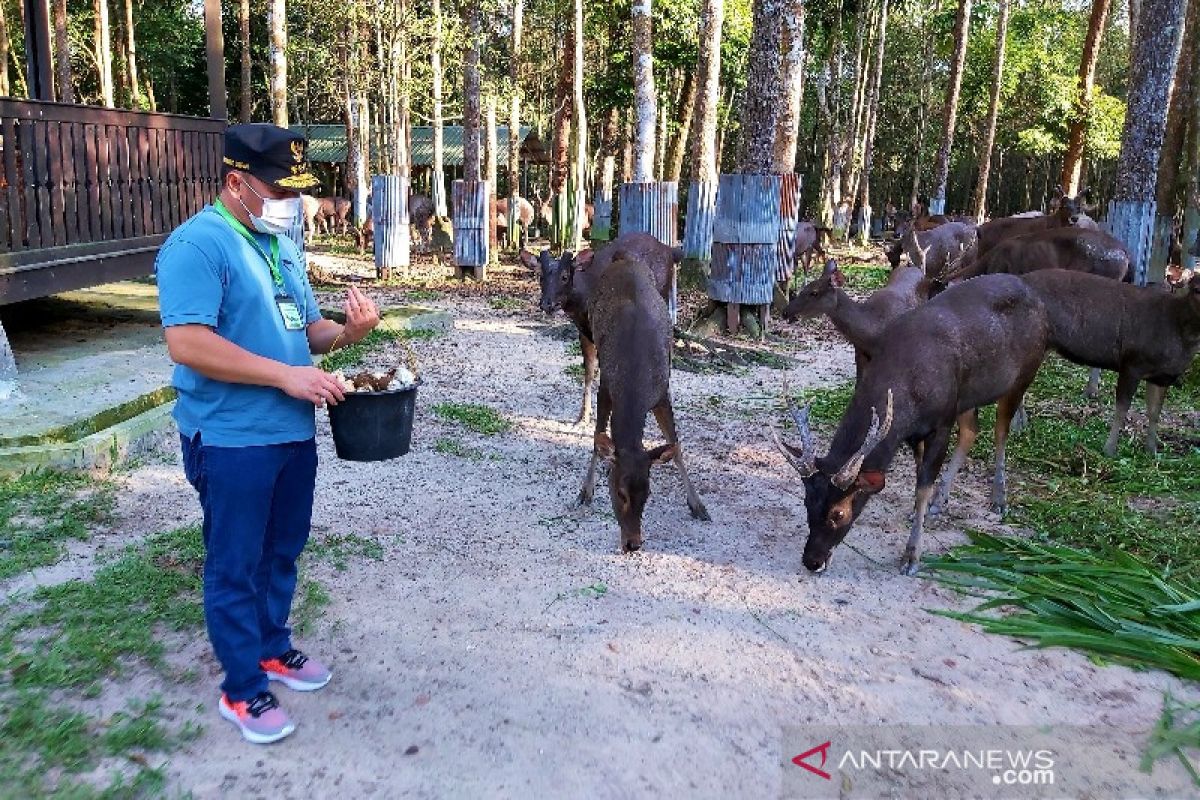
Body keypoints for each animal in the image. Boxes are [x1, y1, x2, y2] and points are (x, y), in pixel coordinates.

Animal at [520, 232, 681, 424]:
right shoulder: (584, 332)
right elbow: (589, 370)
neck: (583, 302)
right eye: (541, 276)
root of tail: (671, 251)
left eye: (565, 276)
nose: (547, 304)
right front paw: (583, 416)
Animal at [573, 255, 705, 551]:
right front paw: (585, 491)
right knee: (589, 368)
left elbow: (676, 447)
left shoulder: (661, 393)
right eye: (619, 492)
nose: (633, 543)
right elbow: (598, 440)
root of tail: (622, 258)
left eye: (648, 492)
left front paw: (698, 505)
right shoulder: (607, 388)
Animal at [772, 275, 1046, 575]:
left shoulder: (942, 421)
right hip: (967, 394)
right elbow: (919, 480)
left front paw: (911, 557)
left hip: (1026, 371)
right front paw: (921, 513)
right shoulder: (915, 431)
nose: (812, 560)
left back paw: (999, 499)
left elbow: (923, 487)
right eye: (805, 502)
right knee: (972, 430)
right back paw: (942, 501)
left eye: (839, 513)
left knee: (1000, 430)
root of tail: (1034, 293)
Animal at [1017, 268, 1200, 455]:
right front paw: (1109, 449)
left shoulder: (1162, 377)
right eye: (1196, 289)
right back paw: (1018, 424)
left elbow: (1155, 412)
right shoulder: (1132, 362)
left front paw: (1152, 450)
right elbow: (1122, 408)